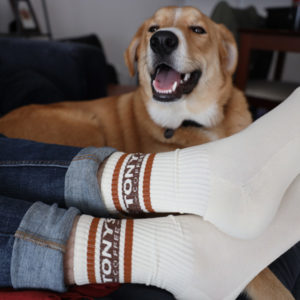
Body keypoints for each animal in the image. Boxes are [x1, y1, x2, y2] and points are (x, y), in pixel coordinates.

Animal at [0, 5, 292, 300]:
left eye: (198, 29)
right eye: (153, 28)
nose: (162, 40)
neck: (192, 120)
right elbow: (262, 275)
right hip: (88, 125)